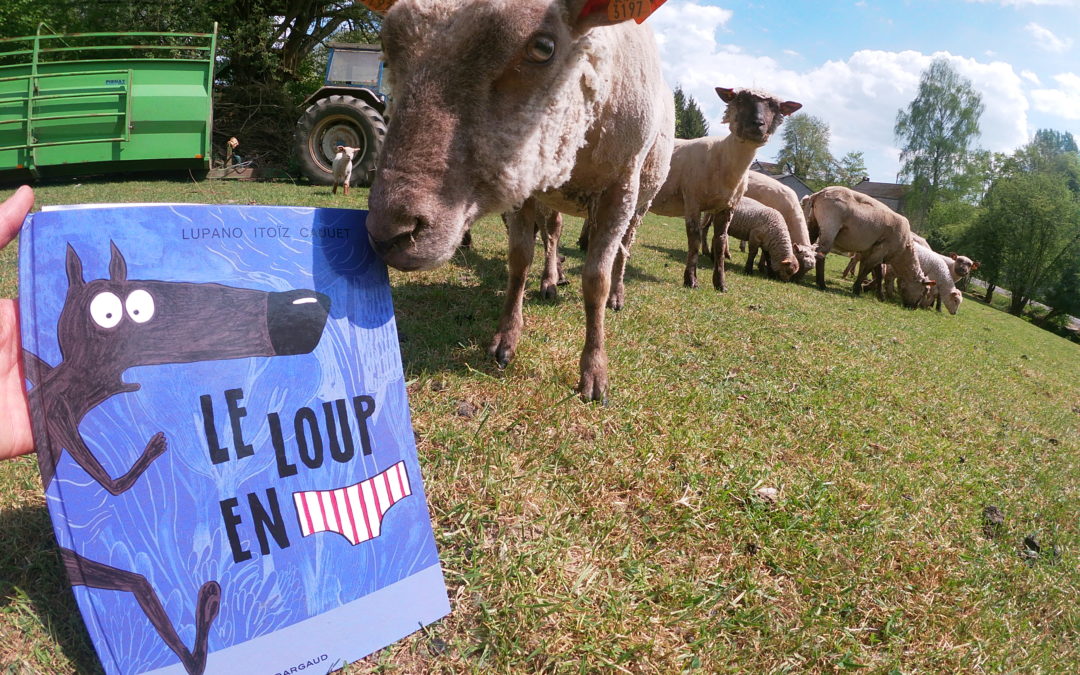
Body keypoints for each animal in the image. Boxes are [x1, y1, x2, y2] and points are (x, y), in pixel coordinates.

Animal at [362, 0, 673, 399]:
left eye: (543, 47)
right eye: (387, 45)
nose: (388, 233)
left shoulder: (620, 186)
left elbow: (596, 279)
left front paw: (594, 370)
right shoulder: (526, 180)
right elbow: (520, 259)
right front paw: (506, 339)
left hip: (641, 196)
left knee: (624, 248)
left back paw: (615, 295)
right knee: (553, 233)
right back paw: (552, 279)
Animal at [639, 88, 803, 291]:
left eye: (774, 107)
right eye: (740, 100)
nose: (758, 124)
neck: (722, 156)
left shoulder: (726, 207)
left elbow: (720, 242)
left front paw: (720, 284)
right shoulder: (692, 201)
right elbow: (694, 240)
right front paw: (690, 280)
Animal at [803, 186, 937, 308]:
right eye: (924, 291)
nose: (913, 307)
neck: (903, 252)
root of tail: (820, 193)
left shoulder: (874, 253)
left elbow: (876, 274)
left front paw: (879, 295)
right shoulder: (881, 251)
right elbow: (867, 270)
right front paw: (857, 289)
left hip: (813, 223)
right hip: (830, 225)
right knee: (821, 252)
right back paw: (821, 283)